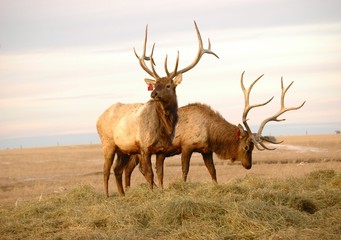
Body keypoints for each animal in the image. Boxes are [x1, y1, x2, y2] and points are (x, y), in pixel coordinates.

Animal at [95, 21, 218, 197]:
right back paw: (106, 196)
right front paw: (152, 193)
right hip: (108, 142)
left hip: (123, 149)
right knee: (106, 170)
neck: (163, 128)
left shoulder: (161, 150)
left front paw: (160, 191)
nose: (153, 93)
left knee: (117, 169)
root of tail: (98, 119)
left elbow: (160, 173)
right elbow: (149, 173)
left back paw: (122, 195)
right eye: (155, 84)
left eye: (168, 85)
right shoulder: (144, 147)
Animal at [125, 71, 306, 188]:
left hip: (135, 152)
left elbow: (213, 171)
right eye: (247, 147)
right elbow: (185, 170)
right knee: (140, 169)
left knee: (130, 169)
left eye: (253, 147)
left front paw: (216, 186)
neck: (211, 133)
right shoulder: (186, 146)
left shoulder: (206, 150)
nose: (249, 165)